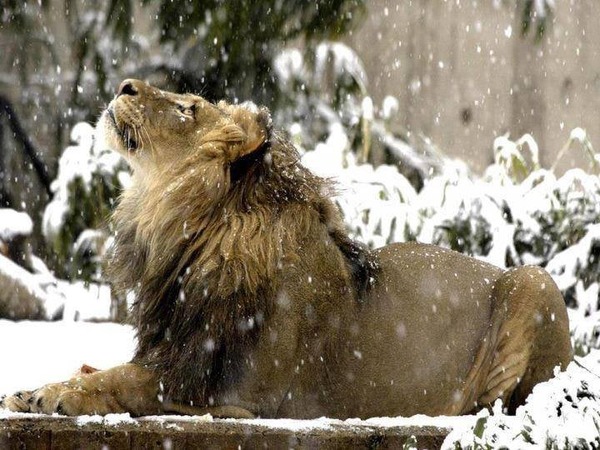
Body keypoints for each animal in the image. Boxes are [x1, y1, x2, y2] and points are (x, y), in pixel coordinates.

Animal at [1, 80, 572, 418]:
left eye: (188, 107)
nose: (125, 85)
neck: (184, 235)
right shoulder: (177, 351)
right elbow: (100, 368)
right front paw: (37, 387)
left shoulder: (231, 395)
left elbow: (121, 382)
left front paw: (52, 394)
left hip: (534, 281)